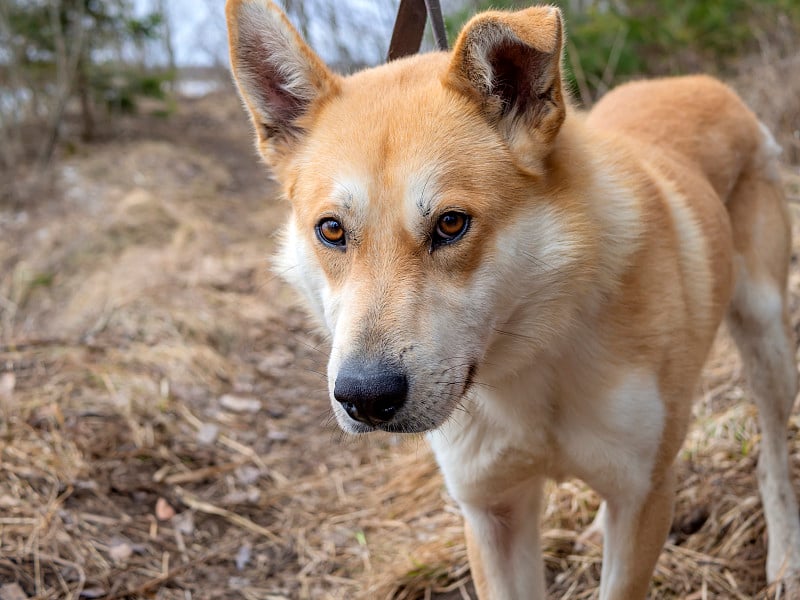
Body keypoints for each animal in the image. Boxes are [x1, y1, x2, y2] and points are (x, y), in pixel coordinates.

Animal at [223, 2, 800, 596]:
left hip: (769, 343)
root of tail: (700, 81)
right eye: (332, 230)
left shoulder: (645, 498)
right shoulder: (492, 514)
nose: (364, 397)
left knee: (773, 457)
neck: (536, 357)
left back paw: (784, 556)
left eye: (451, 224)